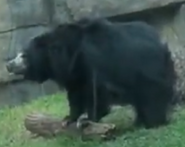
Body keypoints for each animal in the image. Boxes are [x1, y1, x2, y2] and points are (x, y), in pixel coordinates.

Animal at [5, 17, 176, 129]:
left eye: (23, 55)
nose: (8, 65)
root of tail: (163, 45)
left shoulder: (93, 62)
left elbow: (97, 92)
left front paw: (86, 119)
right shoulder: (74, 74)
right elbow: (76, 94)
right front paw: (68, 118)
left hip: (147, 72)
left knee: (152, 98)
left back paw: (152, 122)